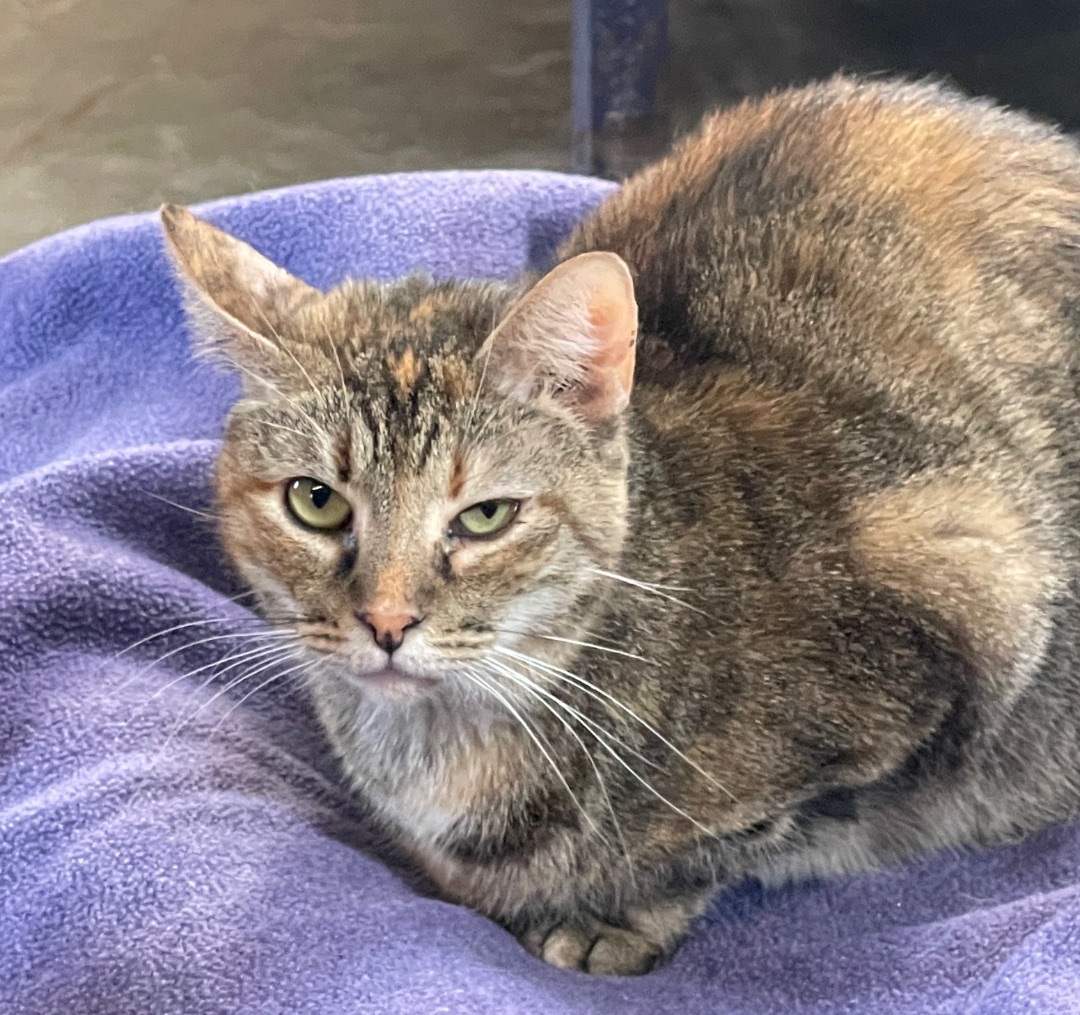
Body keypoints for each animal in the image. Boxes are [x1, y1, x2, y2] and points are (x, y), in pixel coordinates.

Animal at [159, 75, 1080, 980]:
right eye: (316, 501)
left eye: (485, 516)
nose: (385, 621)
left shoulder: (973, 588)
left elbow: (716, 846)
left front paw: (612, 918)